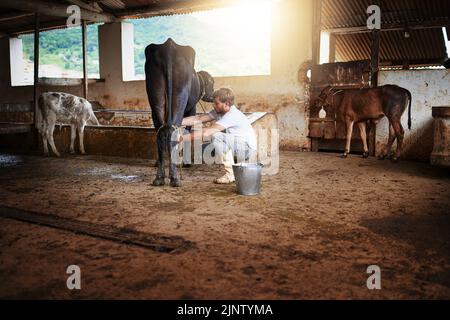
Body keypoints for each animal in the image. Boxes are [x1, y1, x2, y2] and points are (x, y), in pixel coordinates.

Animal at [145, 37, 214, 188]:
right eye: (212, 84)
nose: (212, 96)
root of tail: (169, 47)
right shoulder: (192, 108)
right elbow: (187, 131)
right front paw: (186, 162)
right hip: (180, 97)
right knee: (173, 131)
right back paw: (175, 177)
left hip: (155, 96)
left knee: (161, 131)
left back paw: (159, 177)